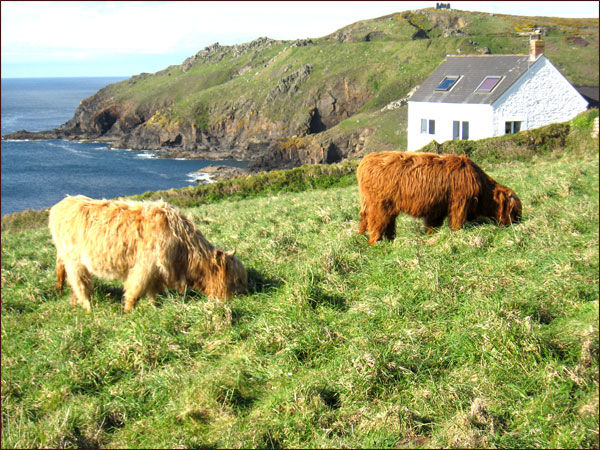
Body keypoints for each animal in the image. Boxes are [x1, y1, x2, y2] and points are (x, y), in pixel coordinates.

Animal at [48, 195, 247, 314]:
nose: (245, 295)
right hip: (74, 261)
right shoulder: (144, 267)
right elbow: (135, 291)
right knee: (80, 284)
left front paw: (155, 307)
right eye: (235, 279)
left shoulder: (156, 271)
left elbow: (154, 292)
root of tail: (61, 204)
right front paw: (128, 313)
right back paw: (89, 309)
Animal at [358, 151, 524, 243]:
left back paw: (390, 240)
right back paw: (377, 243)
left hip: (388, 207)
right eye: (514, 211)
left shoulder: (437, 209)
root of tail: (367, 159)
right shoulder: (459, 203)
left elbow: (433, 226)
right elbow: (457, 223)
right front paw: (456, 236)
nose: (518, 223)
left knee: (387, 223)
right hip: (378, 206)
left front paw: (430, 238)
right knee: (376, 225)